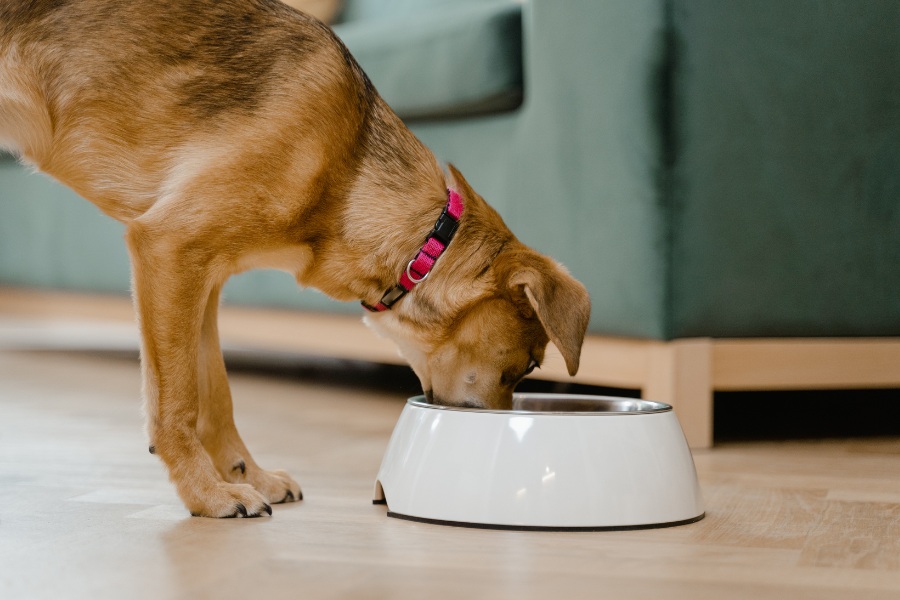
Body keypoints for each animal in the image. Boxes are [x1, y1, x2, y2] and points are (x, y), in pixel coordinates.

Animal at [0, 0, 596, 516]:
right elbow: (178, 402)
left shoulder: (201, 279)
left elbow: (215, 394)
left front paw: (245, 475)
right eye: (529, 365)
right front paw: (206, 495)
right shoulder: (167, 248)